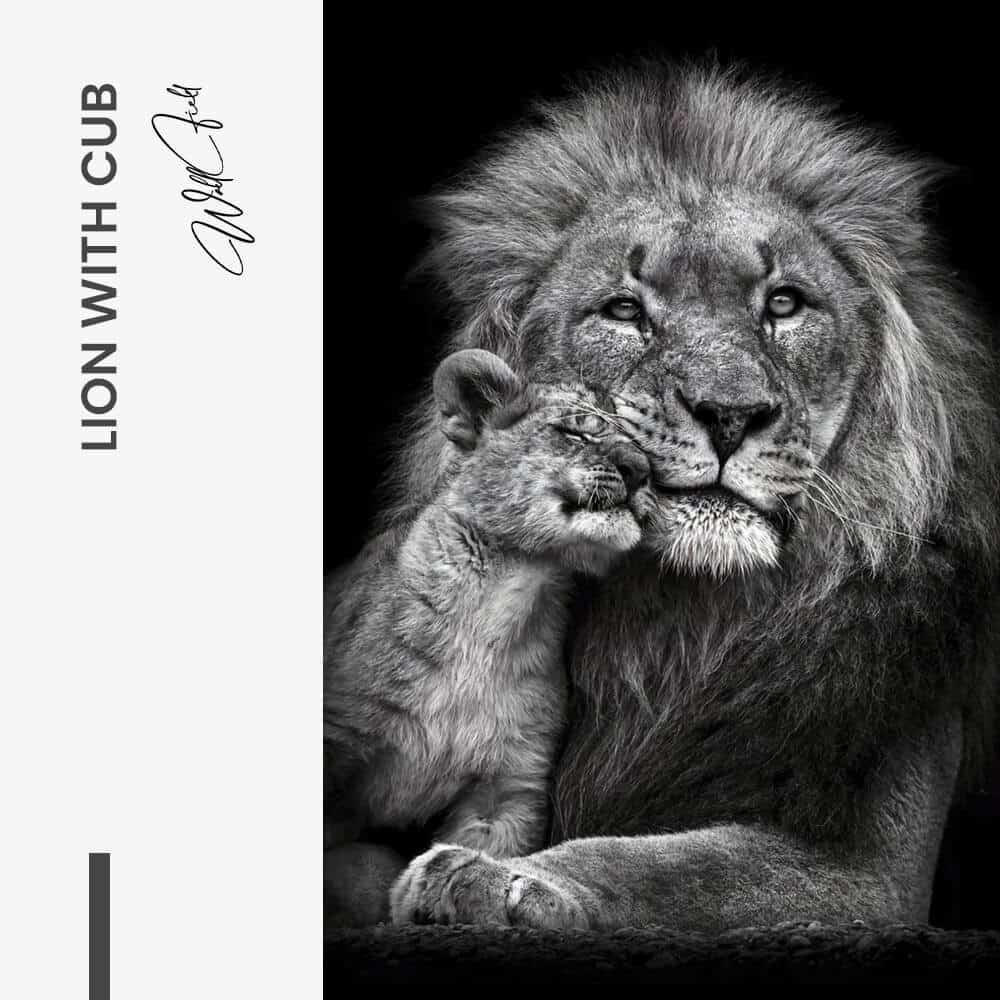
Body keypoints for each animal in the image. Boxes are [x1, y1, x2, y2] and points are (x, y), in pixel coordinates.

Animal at [332, 58, 1000, 931]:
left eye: (784, 303)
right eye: (624, 310)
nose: (730, 414)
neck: (680, 621)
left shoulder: (875, 876)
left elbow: (666, 867)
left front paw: (499, 878)